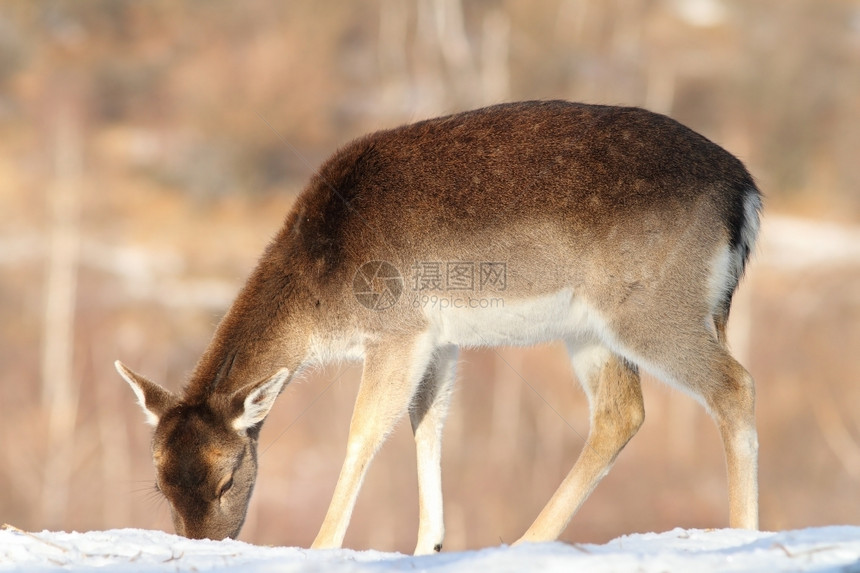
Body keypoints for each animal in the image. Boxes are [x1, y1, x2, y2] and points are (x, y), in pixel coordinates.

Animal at [117, 99, 764, 556]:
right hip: (594, 327)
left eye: (228, 480)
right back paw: (528, 541)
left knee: (733, 385)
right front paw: (429, 542)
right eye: (160, 486)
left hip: (651, 306)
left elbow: (363, 432)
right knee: (620, 412)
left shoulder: (397, 330)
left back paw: (743, 535)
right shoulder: (439, 339)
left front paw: (322, 545)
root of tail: (745, 195)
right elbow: (426, 424)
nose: (205, 546)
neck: (324, 299)